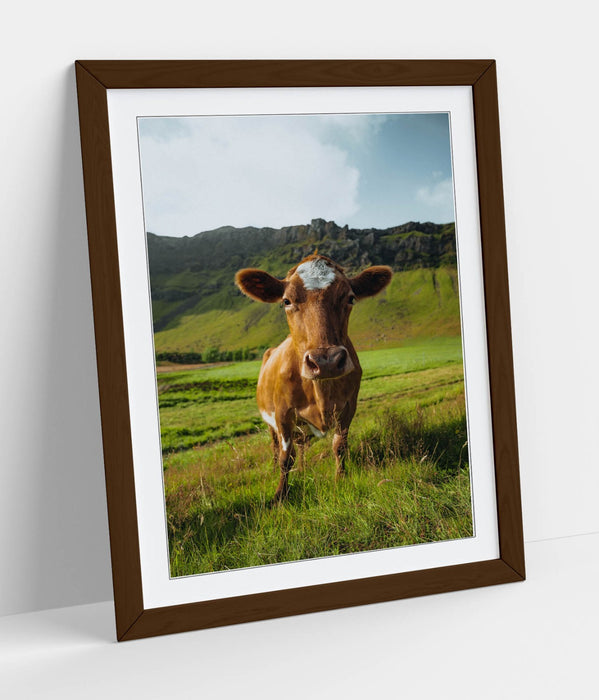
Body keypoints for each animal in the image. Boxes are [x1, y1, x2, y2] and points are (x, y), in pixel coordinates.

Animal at [235, 254, 392, 501]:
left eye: (350, 298)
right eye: (286, 301)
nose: (326, 361)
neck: (321, 394)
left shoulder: (348, 408)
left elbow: (339, 447)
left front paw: (340, 479)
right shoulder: (282, 414)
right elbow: (285, 457)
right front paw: (280, 495)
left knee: (301, 447)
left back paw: (303, 468)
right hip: (270, 421)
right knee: (275, 446)